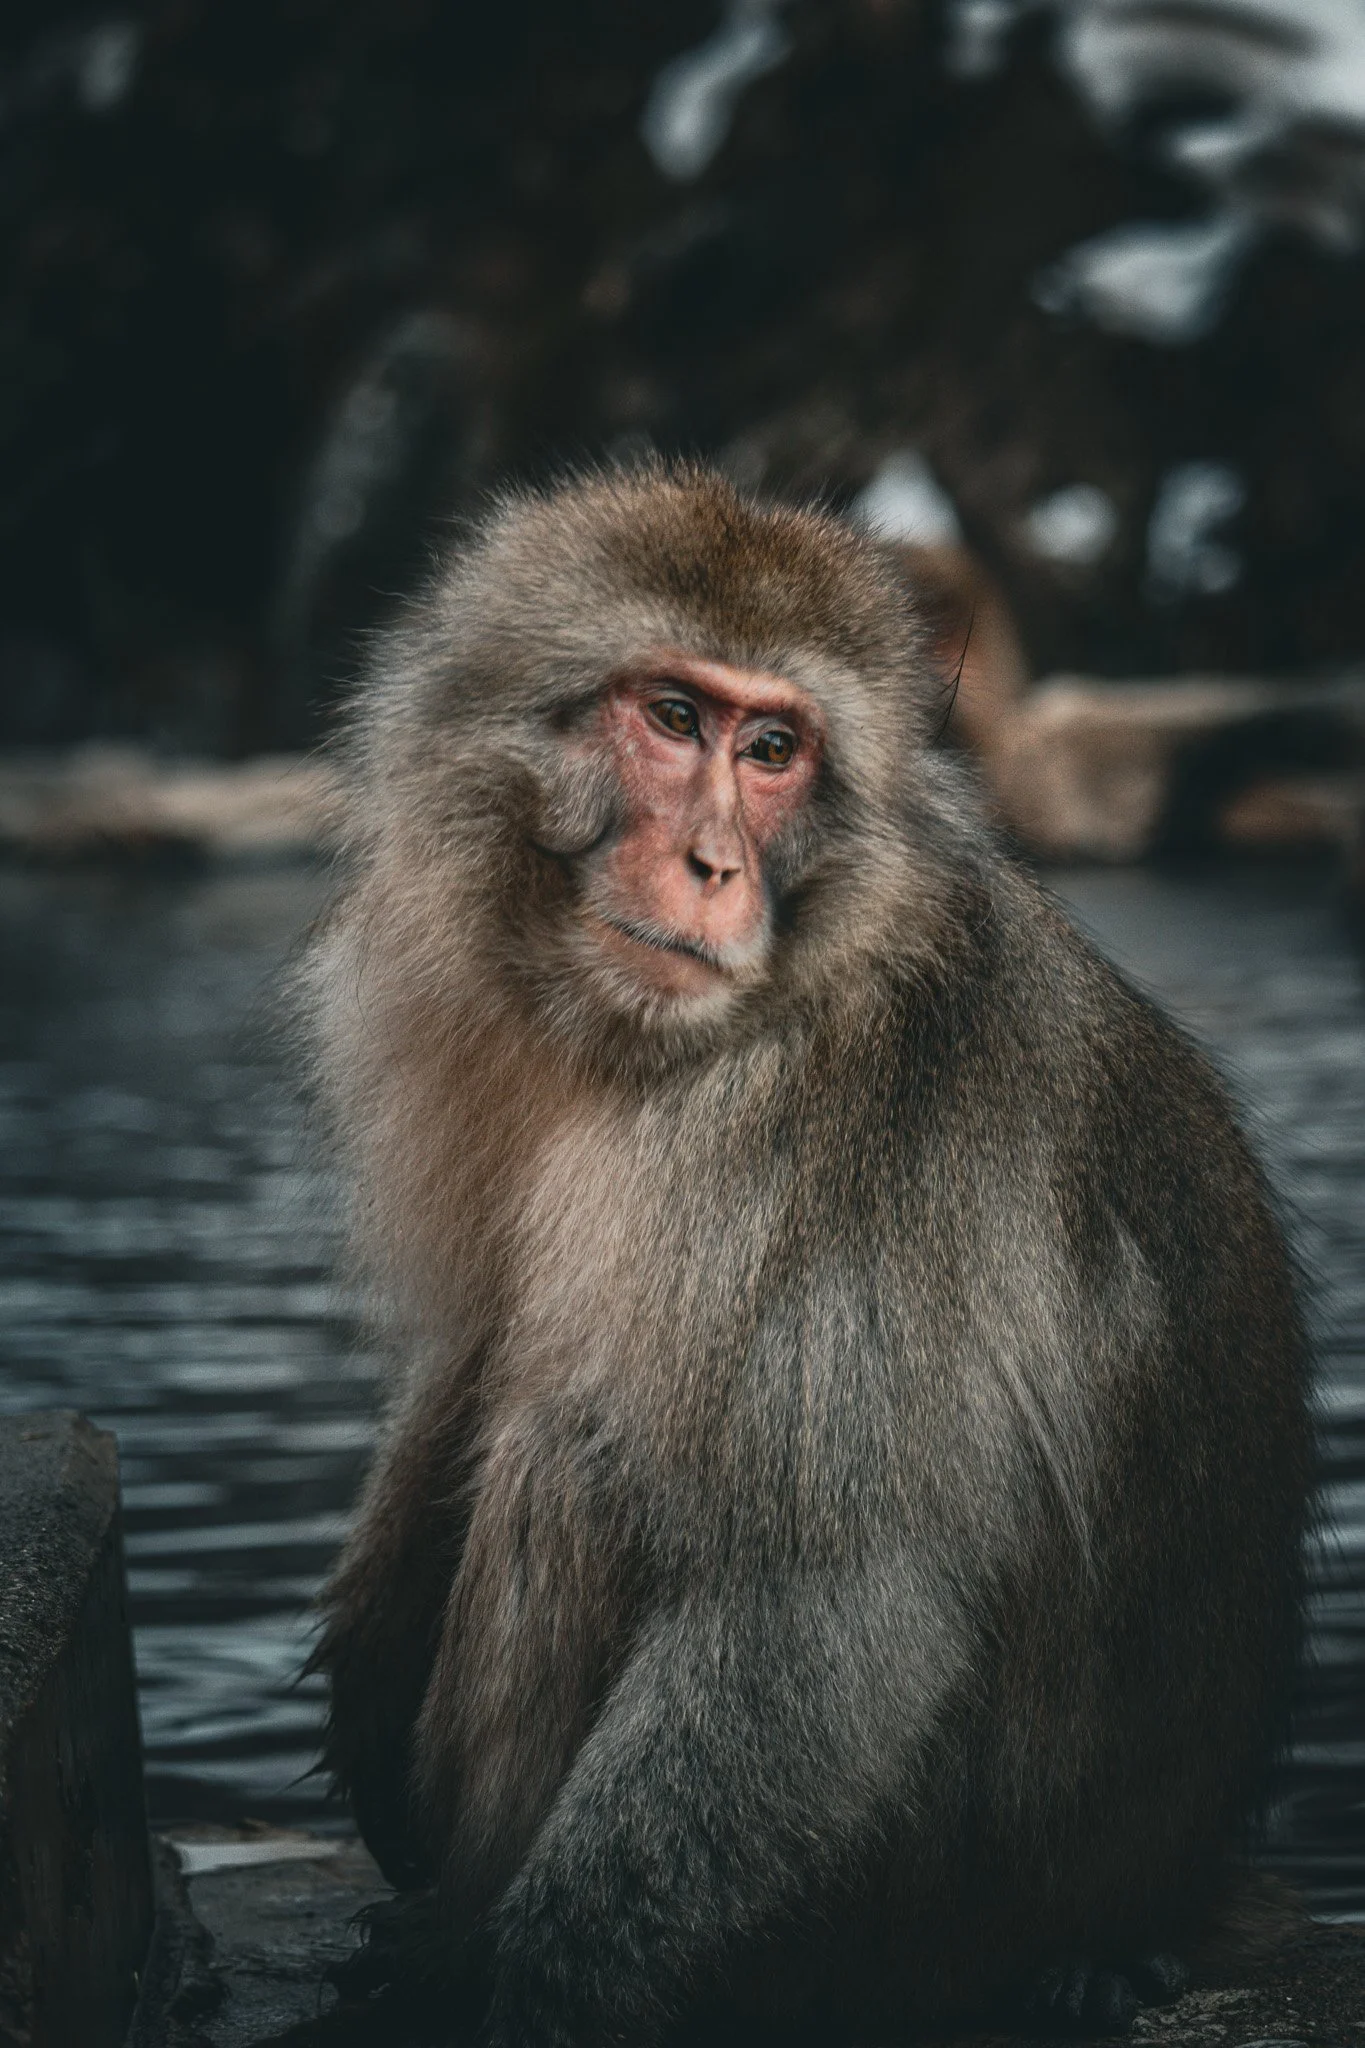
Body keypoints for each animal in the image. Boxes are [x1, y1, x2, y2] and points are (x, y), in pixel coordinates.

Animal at [297, 462, 1312, 2046]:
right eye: (672, 716)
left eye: (774, 749)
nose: (714, 862)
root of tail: (1162, 1880)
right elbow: (481, 1338)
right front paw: (362, 1635)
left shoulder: (834, 1142)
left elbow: (826, 1591)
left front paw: (531, 1977)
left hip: (909, 1908)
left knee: (572, 1468)